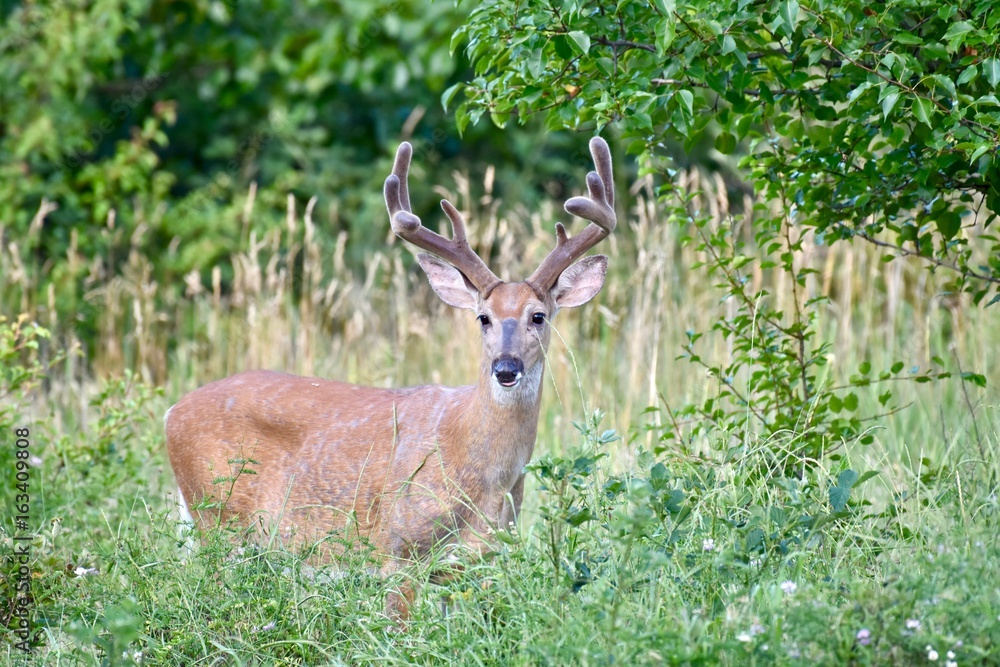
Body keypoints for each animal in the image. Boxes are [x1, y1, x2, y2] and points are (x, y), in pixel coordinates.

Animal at [164, 137, 616, 618]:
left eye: (538, 316)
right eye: (483, 318)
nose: (506, 368)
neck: (484, 477)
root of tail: (172, 411)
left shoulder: (481, 560)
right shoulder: (399, 548)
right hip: (218, 515)